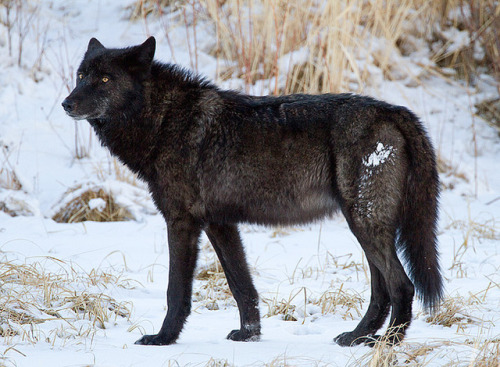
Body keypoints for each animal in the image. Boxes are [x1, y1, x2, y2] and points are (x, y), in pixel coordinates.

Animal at [61, 38, 442, 348]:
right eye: (81, 75)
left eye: (105, 79)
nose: (66, 104)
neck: (165, 119)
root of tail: (393, 111)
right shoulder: (220, 224)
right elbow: (242, 286)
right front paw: (250, 335)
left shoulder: (181, 221)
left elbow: (176, 291)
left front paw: (163, 339)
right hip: (365, 226)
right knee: (381, 291)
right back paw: (357, 337)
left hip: (364, 223)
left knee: (402, 286)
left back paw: (388, 343)